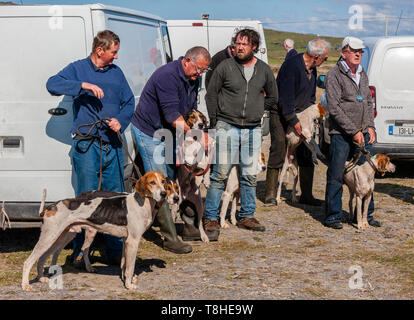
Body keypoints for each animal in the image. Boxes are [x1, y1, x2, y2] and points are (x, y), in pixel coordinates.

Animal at [21, 171, 167, 292]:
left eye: (163, 181)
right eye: (152, 182)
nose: (164, 194)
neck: (142, 201)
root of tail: (51, 206)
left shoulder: (126, 241)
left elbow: (124, 265)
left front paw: (125, 281)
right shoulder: (133, 241)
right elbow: (130, 268)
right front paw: (129, 285)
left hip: (60, 238)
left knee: (41, 258)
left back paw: (41, 278)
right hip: (49, 238)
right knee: (28, 261)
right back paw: (25, 285)